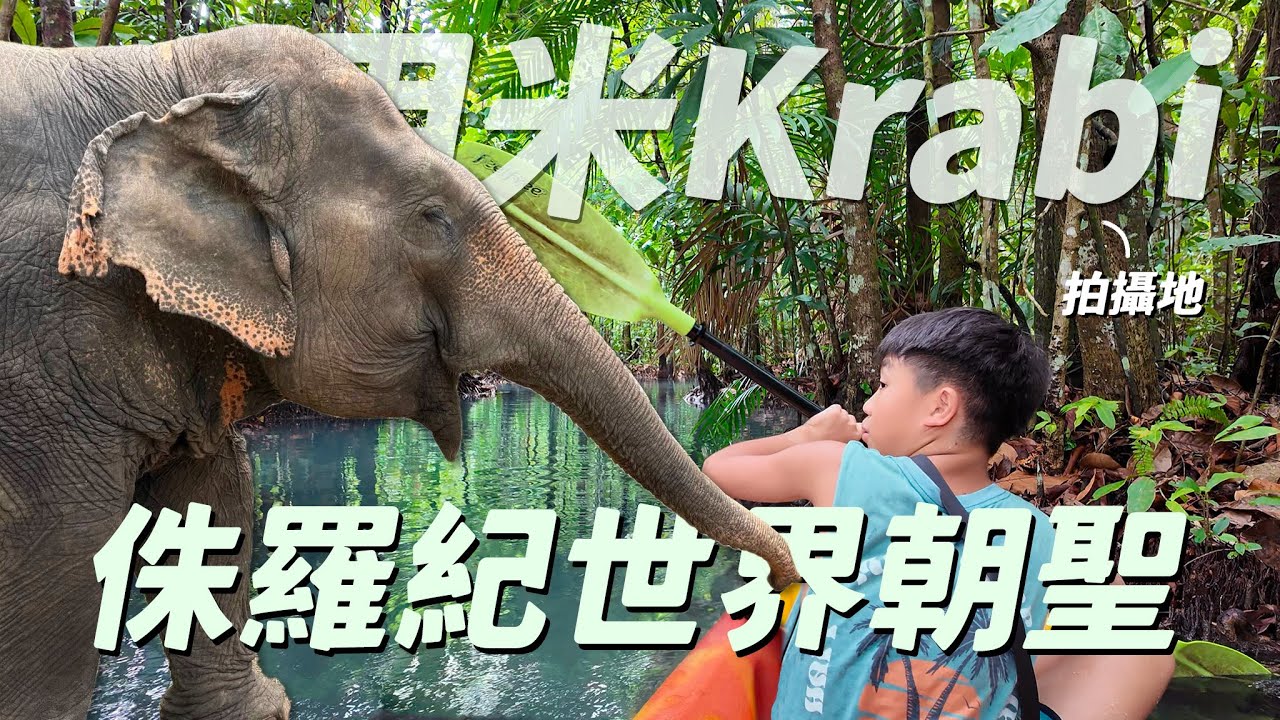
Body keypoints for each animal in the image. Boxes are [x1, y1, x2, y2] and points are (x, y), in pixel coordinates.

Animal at [0, 24, 800, 720]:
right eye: (432, 218)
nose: (789, 574)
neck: (167, 73)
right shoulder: (46, 350)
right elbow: (62, 563)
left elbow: (218, 498)